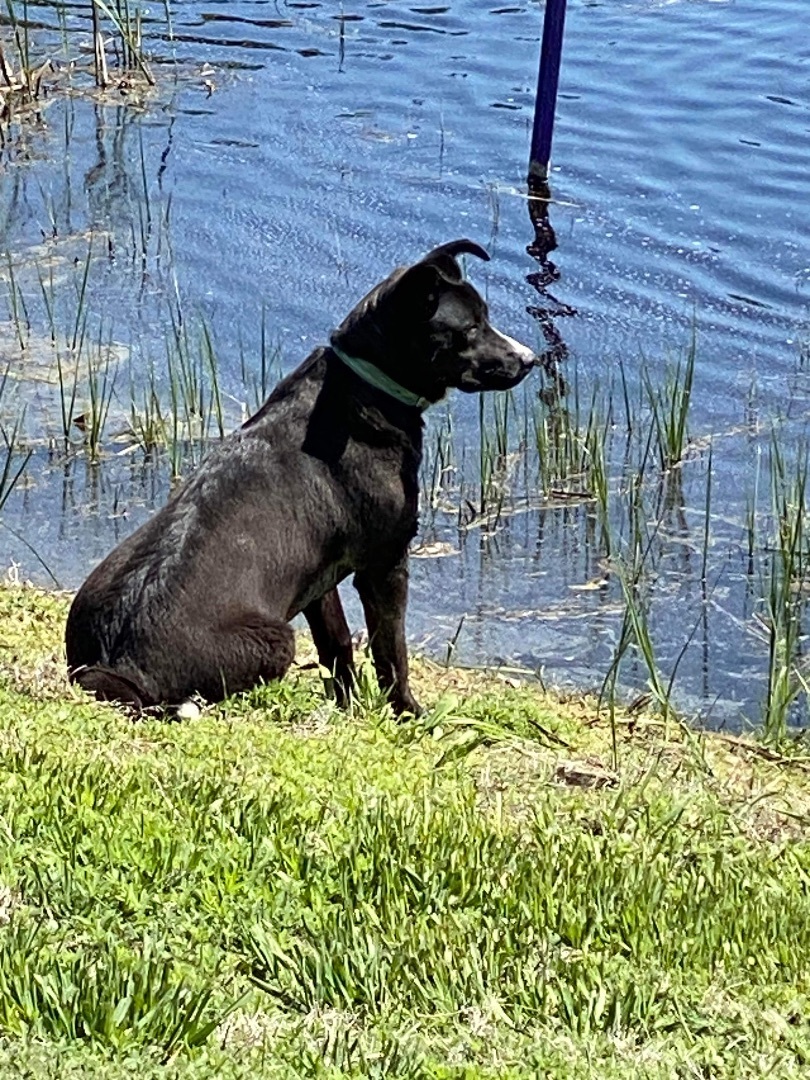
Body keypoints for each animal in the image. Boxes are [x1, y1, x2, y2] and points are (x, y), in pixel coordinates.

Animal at [65, 243, 540, 717]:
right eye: (471, 327)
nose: (530, 359)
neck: (365, 383)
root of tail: (118, 663)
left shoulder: (318, 579)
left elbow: (337, 644)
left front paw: (348, 706)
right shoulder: (385, 564)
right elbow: (391, 652)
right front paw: (406, 712)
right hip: (277, 639)